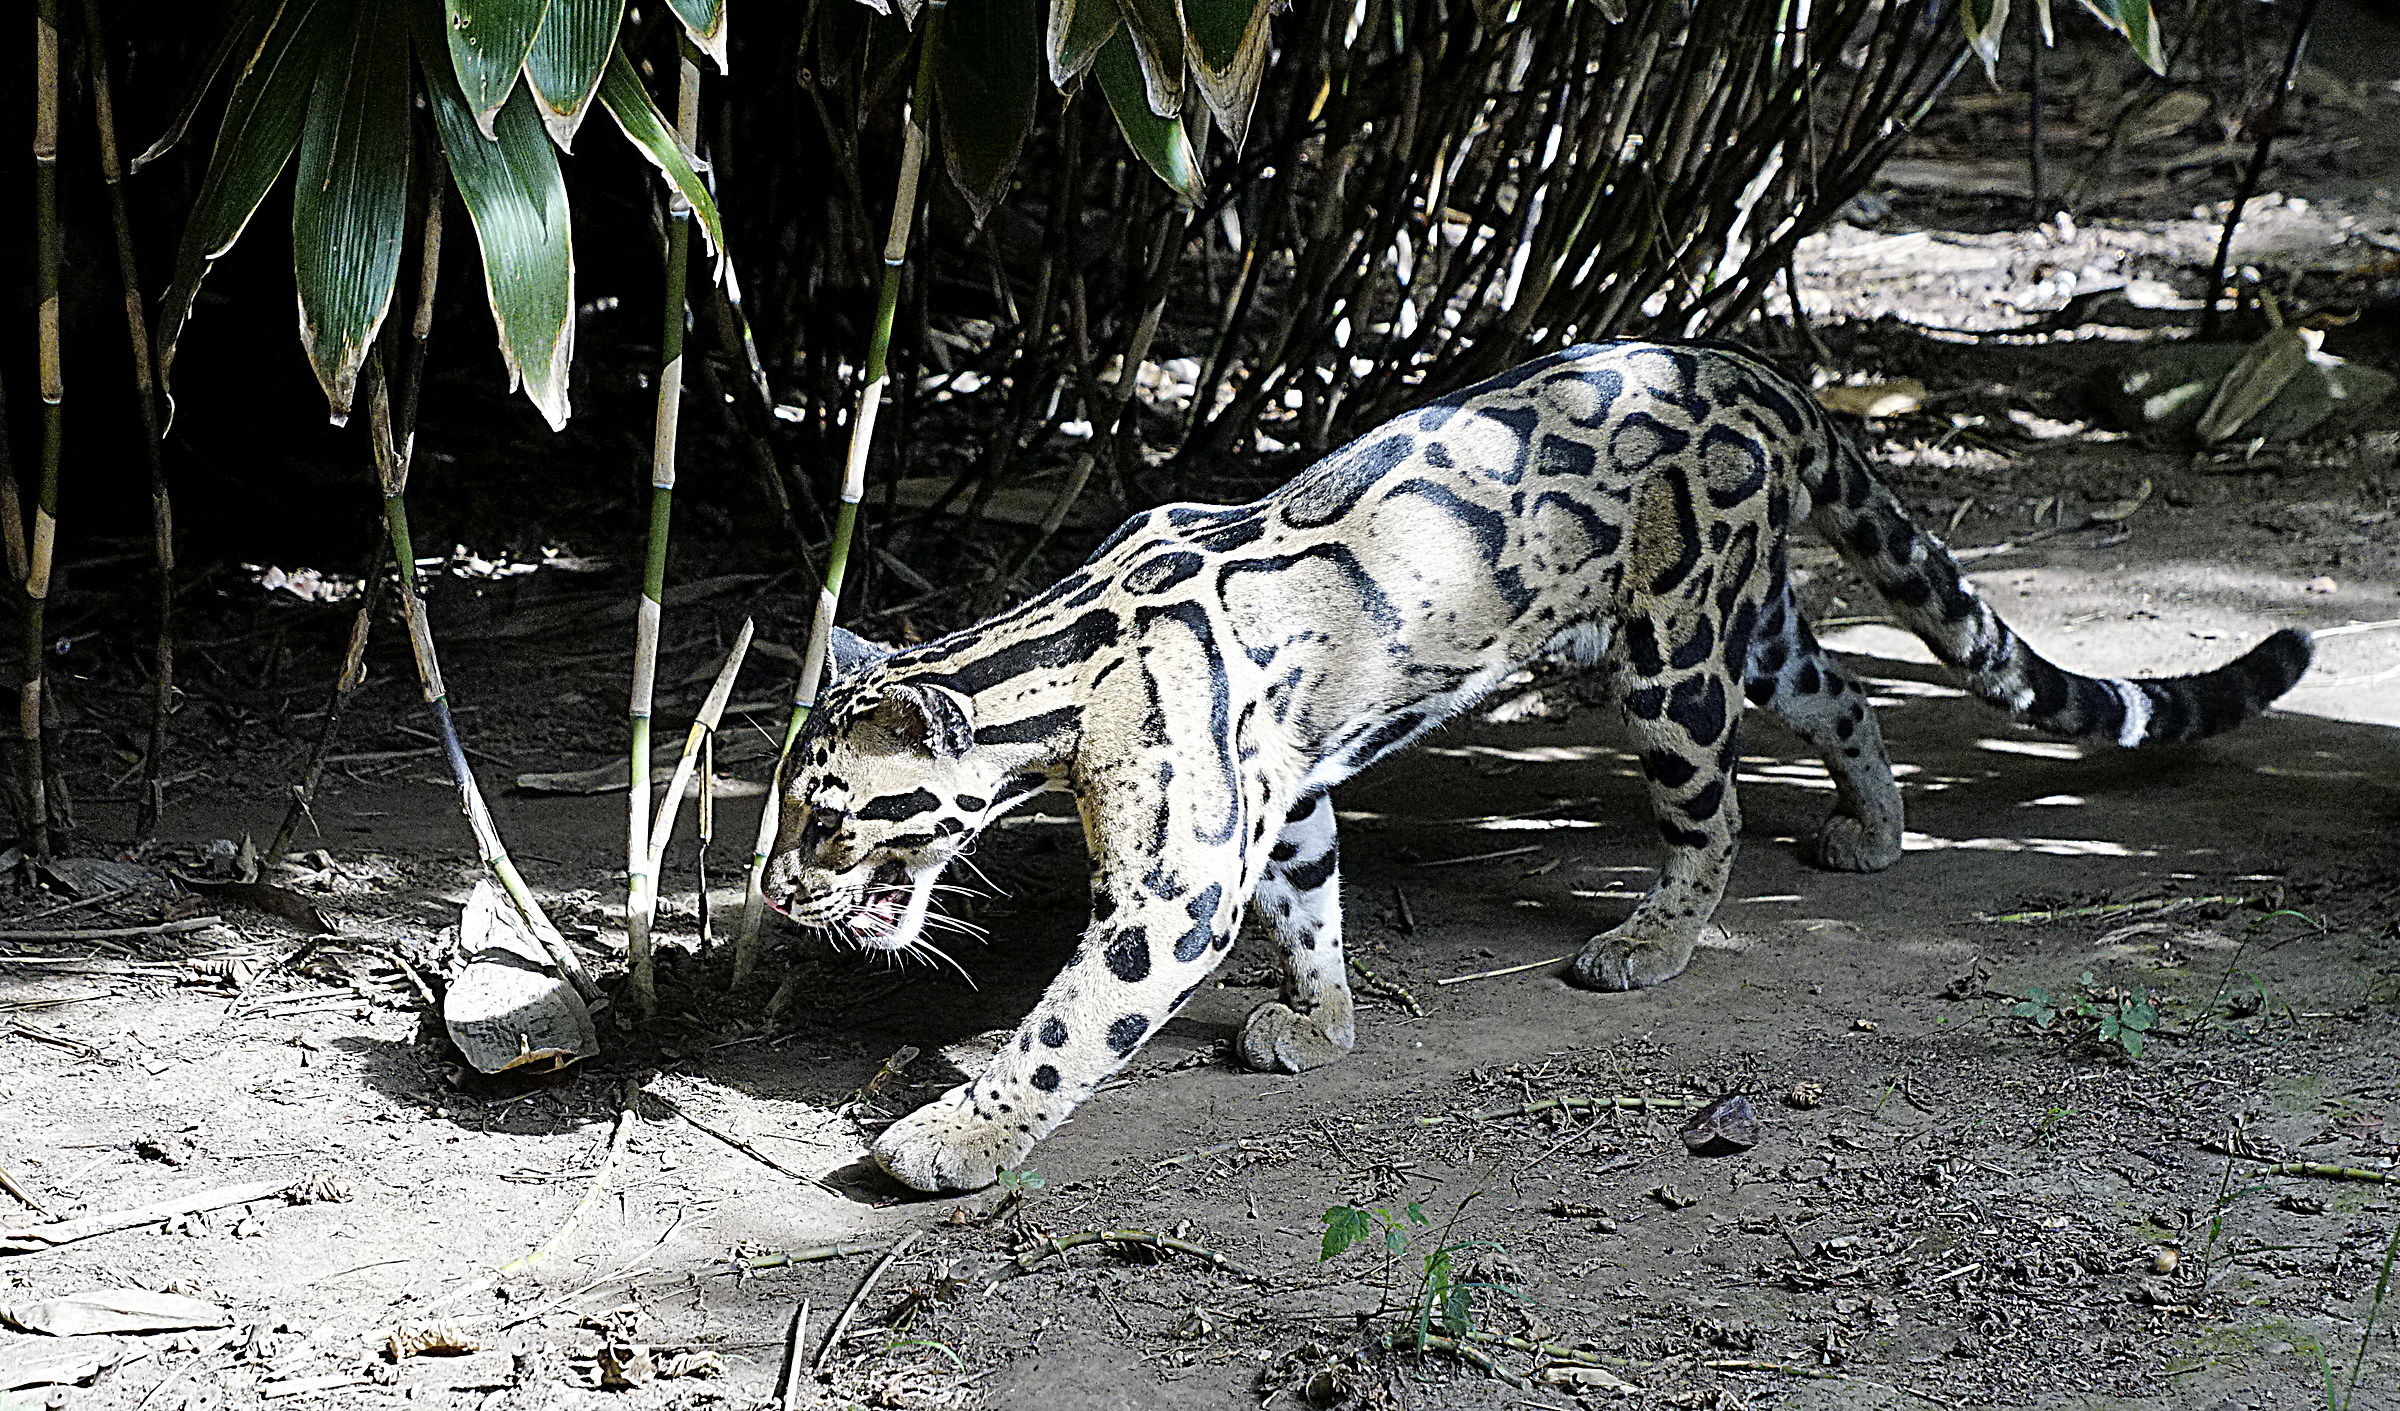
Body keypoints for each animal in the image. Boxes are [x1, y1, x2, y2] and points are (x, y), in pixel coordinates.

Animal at [761, 339, 2312, 1194]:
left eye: (830, 816)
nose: (776, 894)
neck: (1057, 663)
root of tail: (1749, 363)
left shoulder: (1175, 887)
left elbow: (1070, 1022)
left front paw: (955, 1139)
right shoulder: (1289, 794)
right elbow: (1313, 900)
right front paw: (1323, 1020)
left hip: (1673, 652)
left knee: (1715, 810)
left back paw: (1655, 940)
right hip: (1747, 628)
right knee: (1848, 686)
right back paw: (1876, 829)